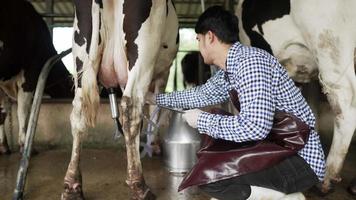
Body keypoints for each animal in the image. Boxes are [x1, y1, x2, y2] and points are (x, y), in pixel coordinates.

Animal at [60, 0, 178, 199]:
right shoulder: (163, 75)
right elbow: (153, 112)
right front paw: (152, 144)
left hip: (81, 55)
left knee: (78, 114)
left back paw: (72, 185)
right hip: (143, 49)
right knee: (131, 108)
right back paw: (139, 186)